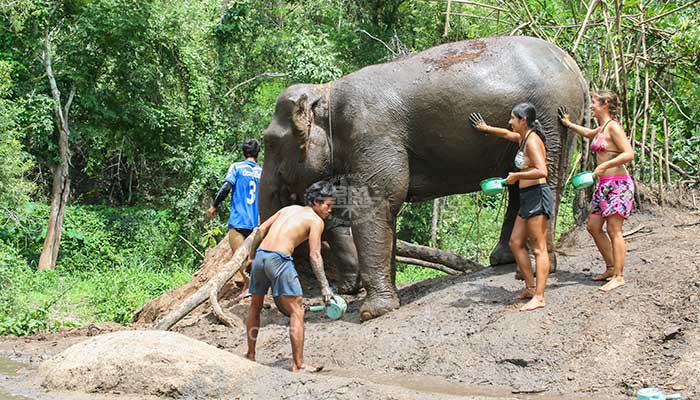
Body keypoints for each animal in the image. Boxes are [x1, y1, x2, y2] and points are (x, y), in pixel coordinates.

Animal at [260, 35, 588, 322]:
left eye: (270, 143)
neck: (328, 91)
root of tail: (575, 70)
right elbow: (385, 209)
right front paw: (386, 299)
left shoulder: (373, 133)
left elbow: (378, 200)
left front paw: (372, 312)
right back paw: (504, 260)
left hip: (550, 115)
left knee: (547, 178)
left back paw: (529, 268)